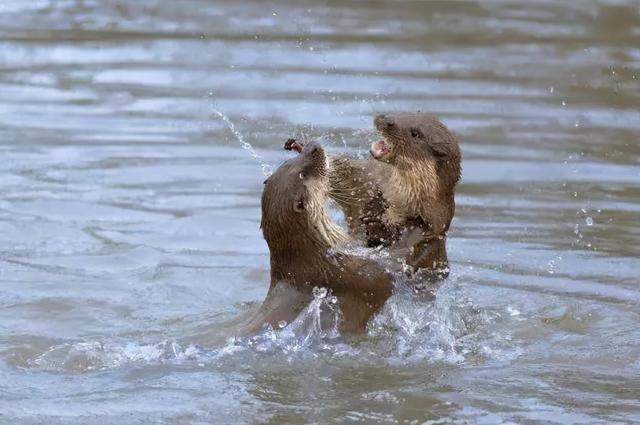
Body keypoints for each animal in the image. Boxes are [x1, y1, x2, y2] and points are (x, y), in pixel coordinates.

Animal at [284, 111, 460, 274]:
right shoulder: (368, 178)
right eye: (403, 113)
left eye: (415, 133)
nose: (386, 119)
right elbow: (342, 176)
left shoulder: (430, 227)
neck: (397, 197)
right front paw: (301, 147)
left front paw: (377, 224)